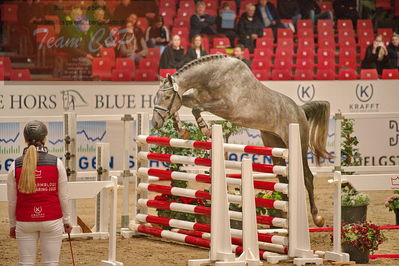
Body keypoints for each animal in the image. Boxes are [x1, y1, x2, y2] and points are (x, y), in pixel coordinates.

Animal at [153, 54, 332, 227]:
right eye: (156, 98)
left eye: (167, 96)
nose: (155, 123)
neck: (213, 76)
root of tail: (299, 109)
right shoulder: (197, 98)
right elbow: (183, 103)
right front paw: (182, 131)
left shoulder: (227, 106)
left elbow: (195, 109)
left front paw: (205, 129)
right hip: (274, 144)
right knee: (283, 180)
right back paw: (284, 217)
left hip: (298, 145)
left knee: (308, 177)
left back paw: (317, 218)